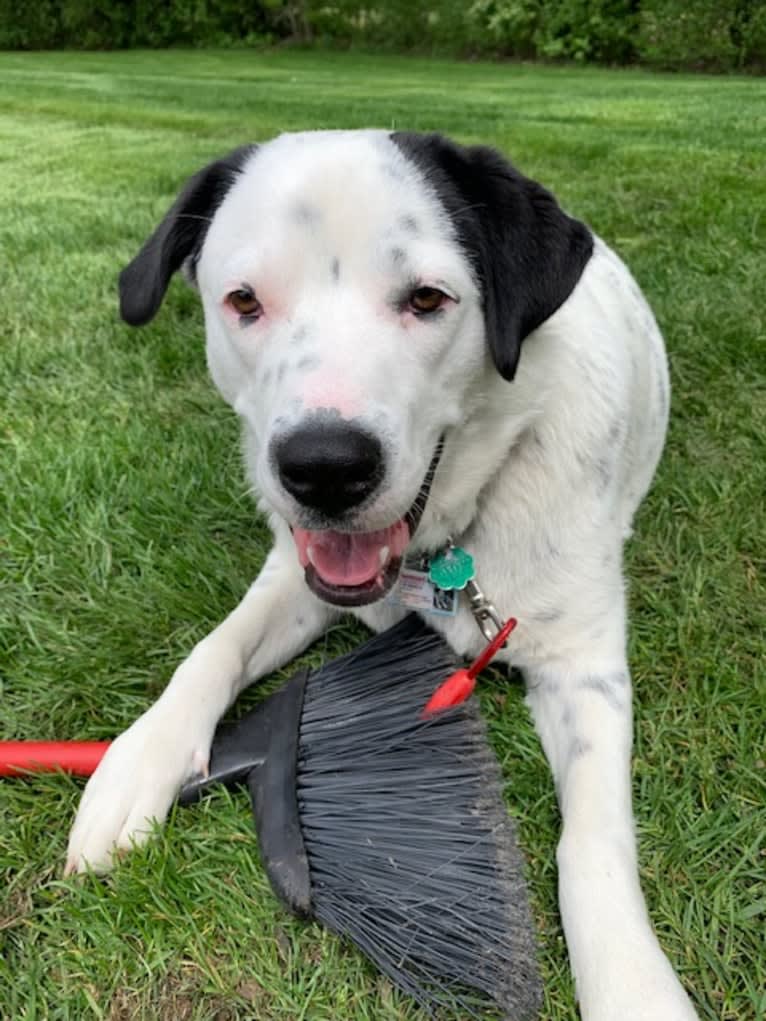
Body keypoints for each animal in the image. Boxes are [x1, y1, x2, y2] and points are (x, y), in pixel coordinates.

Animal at [65, 131, 702, 1016]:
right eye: (244, 301)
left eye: (428, 299)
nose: (324, 468)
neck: (443, 545)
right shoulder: (295, 578)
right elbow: (212, 651)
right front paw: (138, 760)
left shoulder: (585, 667)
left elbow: (593, 842)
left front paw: (633, 984)